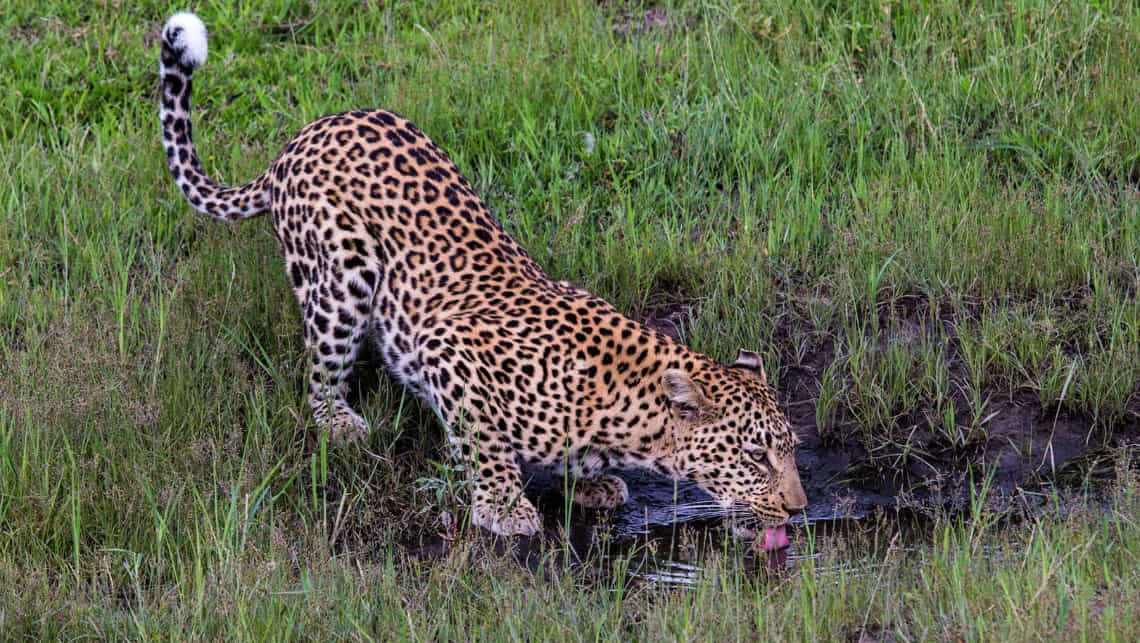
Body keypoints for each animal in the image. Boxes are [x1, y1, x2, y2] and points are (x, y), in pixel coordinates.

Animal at [158, 12, 811, 540]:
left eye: (790, 451)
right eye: (756, 456)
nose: (799, 509)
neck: (628, 415)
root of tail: (298, 140)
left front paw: (587, 485)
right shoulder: (448, 346)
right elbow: (484, 437)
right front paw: (504, 505)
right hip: (341, 282)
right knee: (320, 371)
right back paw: (339, 422)